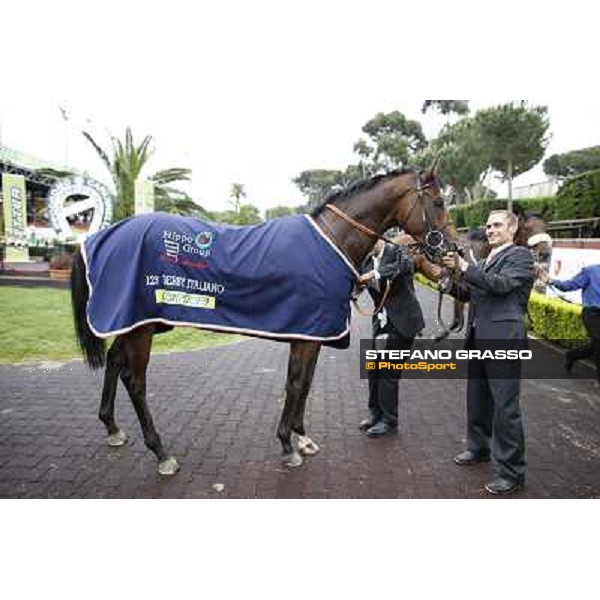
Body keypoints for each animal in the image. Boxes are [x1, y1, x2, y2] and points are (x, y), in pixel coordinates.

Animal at [71, 164, 454, 474]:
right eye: (437, 202)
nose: (451, 250)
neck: (331, 240)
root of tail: (102, 237)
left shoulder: (313, 336)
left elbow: (305, 384)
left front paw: (302, 439)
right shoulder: (304, 336)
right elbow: (295, 384)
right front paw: (288, 446)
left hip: (136, 323)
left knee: (113, 360)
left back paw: (113, 428)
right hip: (143, 329)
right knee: (135, 381)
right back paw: (161, 453)